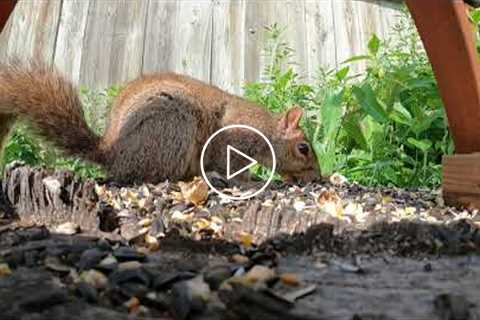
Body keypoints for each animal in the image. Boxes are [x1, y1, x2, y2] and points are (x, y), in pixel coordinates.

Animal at [0, 61, 320, 184]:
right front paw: (248, 180)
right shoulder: (233, 139)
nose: (317, 177)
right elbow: (227, 164)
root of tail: (112, 152)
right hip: (174, 126)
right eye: (303, 148)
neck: (266, 131)